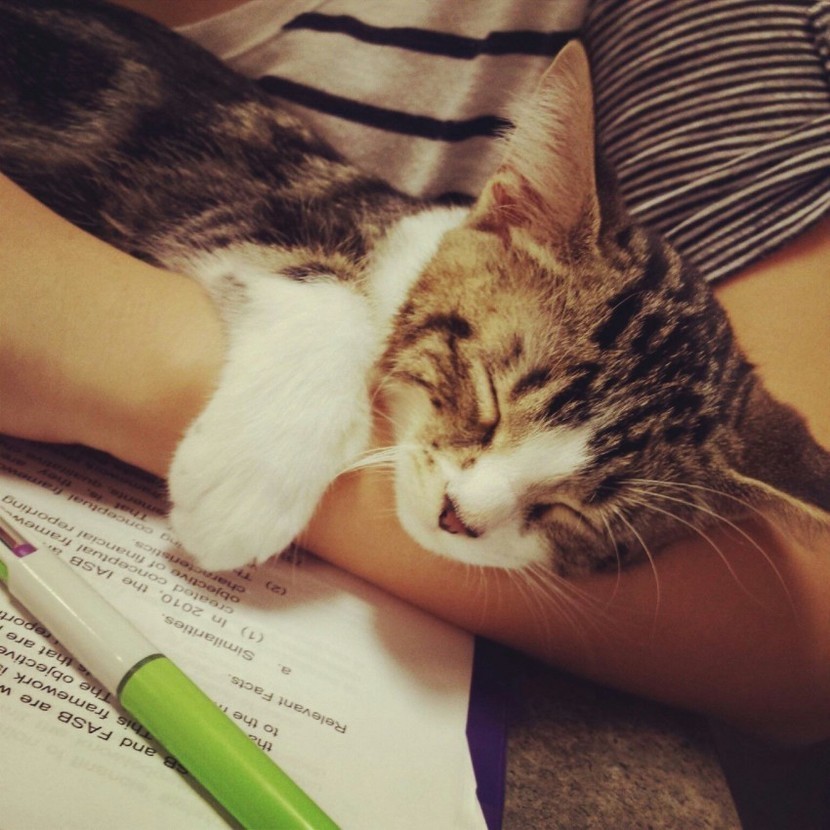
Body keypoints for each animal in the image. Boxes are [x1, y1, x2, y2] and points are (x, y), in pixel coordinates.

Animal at [1, 0, 828, 576]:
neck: (396, 240)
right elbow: (323, 286)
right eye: (489, 392)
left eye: (581, 512)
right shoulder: (225, 181)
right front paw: (250, 482)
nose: (460, 516)